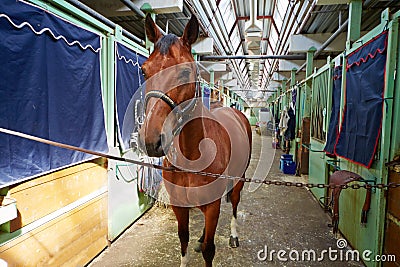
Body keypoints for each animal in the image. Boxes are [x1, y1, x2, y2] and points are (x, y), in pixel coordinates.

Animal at [138, 14, 250, 267]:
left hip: (239, 180)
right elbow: (183, 239)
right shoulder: (180, 206)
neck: (192, 154)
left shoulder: (213, 206)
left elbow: (210, 249)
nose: (151, 141)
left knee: (235, 203)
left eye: (184, 73)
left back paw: (234, 236)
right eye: (144, 71)